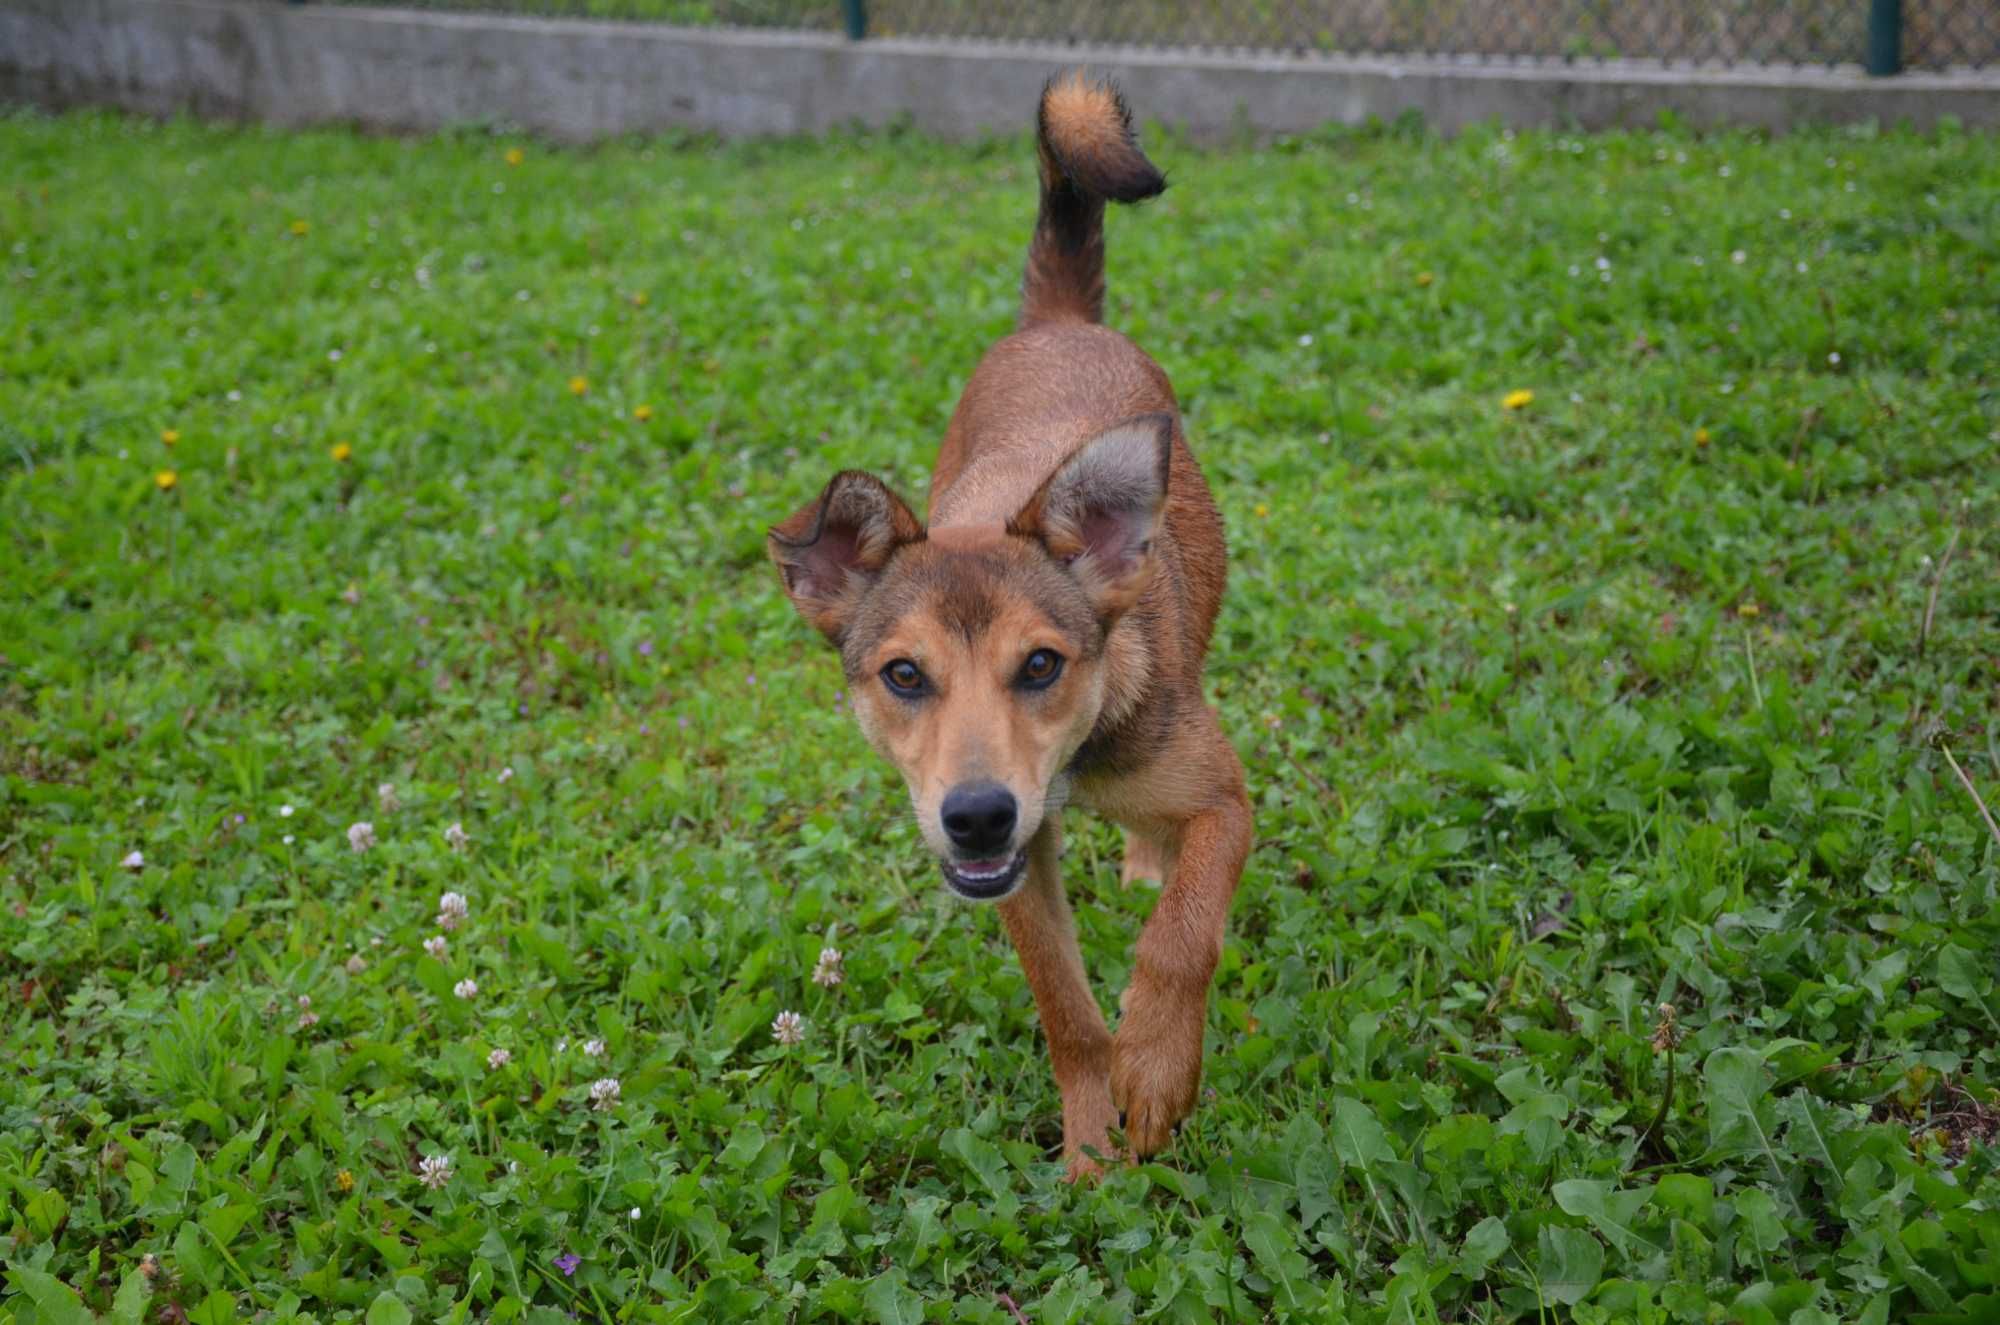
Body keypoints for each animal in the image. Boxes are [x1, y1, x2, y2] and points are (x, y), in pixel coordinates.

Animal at [768, 72, 1248, 1176]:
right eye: (903, 675)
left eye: (1040, 664)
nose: (978, 814)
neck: (1077, 760)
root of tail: (1058, 322)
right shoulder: (1017, 873)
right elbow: (1066, 1010)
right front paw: (1091, 1149)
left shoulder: (1226, 801)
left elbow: (1182, 932)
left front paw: (1156, 1065)